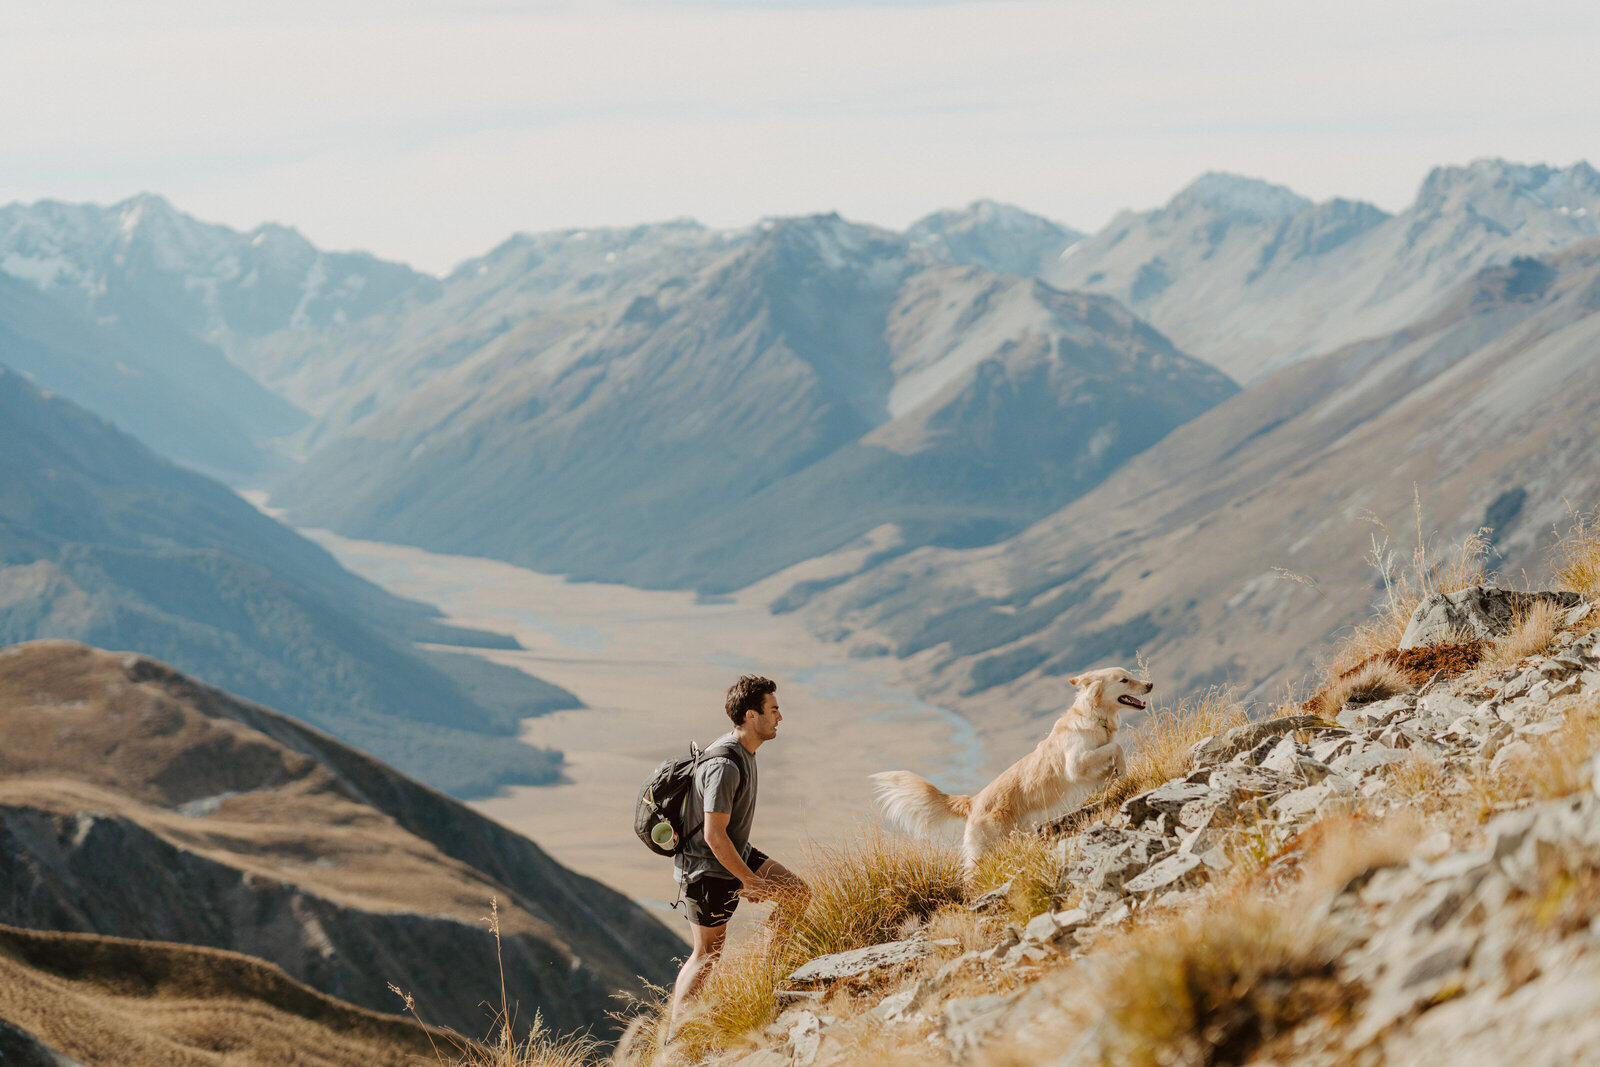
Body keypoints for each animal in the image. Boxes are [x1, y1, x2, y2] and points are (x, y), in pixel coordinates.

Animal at [876, 668, 1152, 876]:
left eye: (1130, 675)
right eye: (1124, 680)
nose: (1150, 684)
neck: (1093, 717)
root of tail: (972, 802)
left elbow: (1110, 757)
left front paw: (1114, 775)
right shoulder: (1076, 764)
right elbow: (1115, 747)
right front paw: (1122, 769)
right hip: (985, 849)